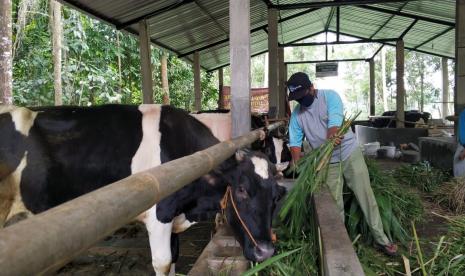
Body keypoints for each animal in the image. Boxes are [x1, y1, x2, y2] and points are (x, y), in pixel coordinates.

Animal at [0, 104, 284, 276]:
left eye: (275, 198)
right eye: (242, 190)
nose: (267, 252)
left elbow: (174, 258)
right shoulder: (159, 215)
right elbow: (162, 262)